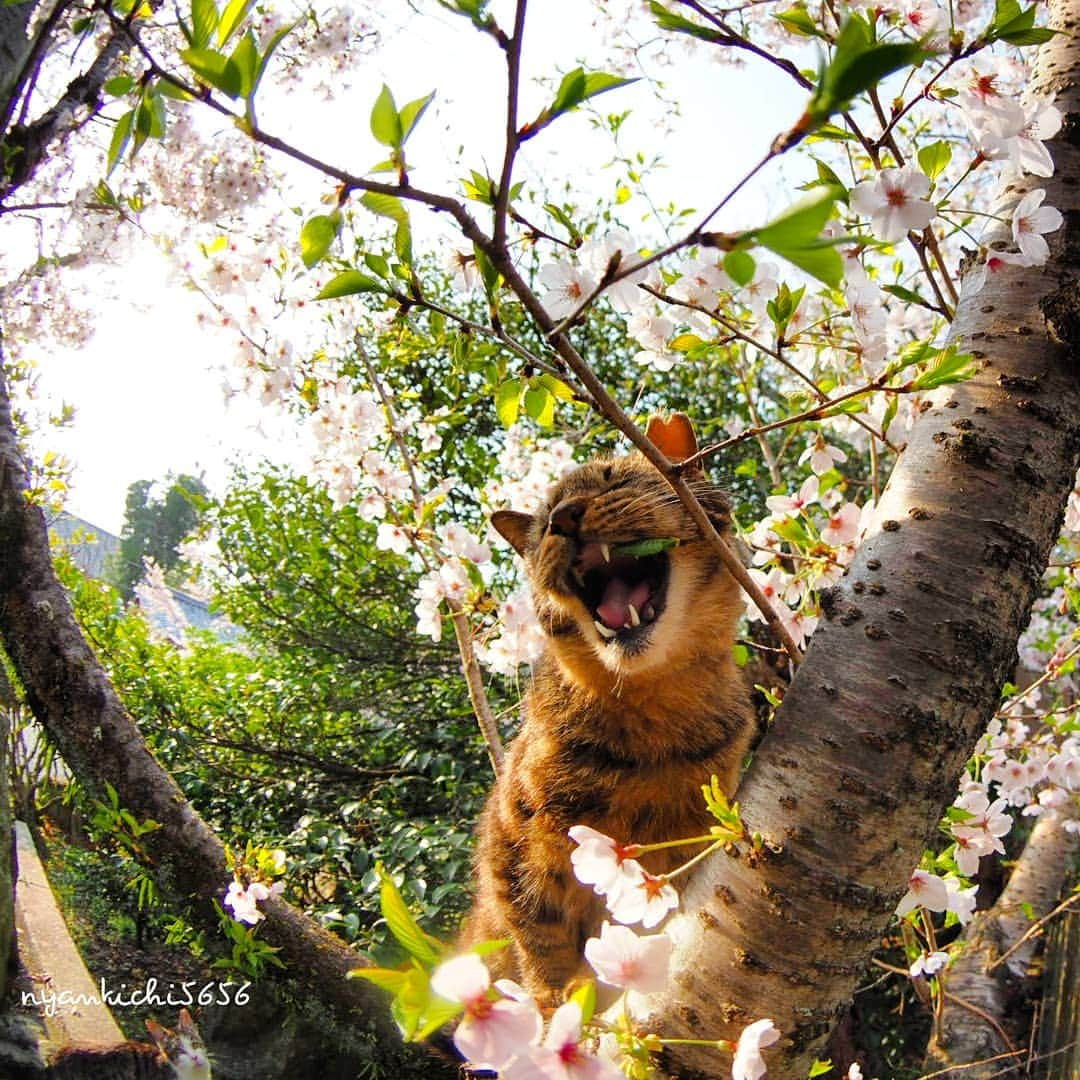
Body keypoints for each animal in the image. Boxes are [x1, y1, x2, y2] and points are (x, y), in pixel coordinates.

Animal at [462, 412, 751, 1002]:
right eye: (543, 524)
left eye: (613, 479)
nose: (564, 518)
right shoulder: (508, 854)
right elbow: (542, 950)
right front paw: (557, 1010)